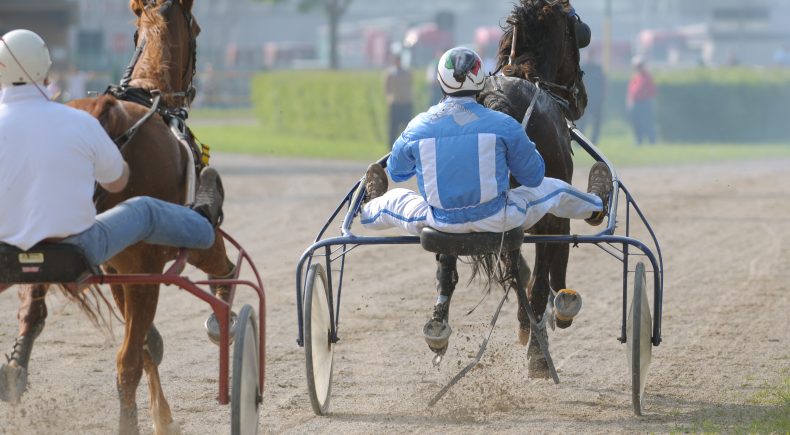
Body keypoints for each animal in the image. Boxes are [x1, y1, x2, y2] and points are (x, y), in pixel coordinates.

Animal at [4, 0, 234, 432]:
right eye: (196, 28)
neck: (146, 94)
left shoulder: (115, 269)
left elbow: (146, 345)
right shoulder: (143, 261)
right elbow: (145, 347)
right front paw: (163, 416)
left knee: (34, 311)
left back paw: (15, 371)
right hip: (155, 247)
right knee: (128, 360)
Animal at [474, 0, 592, 378]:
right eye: (578, 35)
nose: (582, 98)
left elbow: (519, 275)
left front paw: (528, 325)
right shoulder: (555, 213)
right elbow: (549, 275)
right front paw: (558, 312)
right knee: (539, 283)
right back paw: (540, 356)